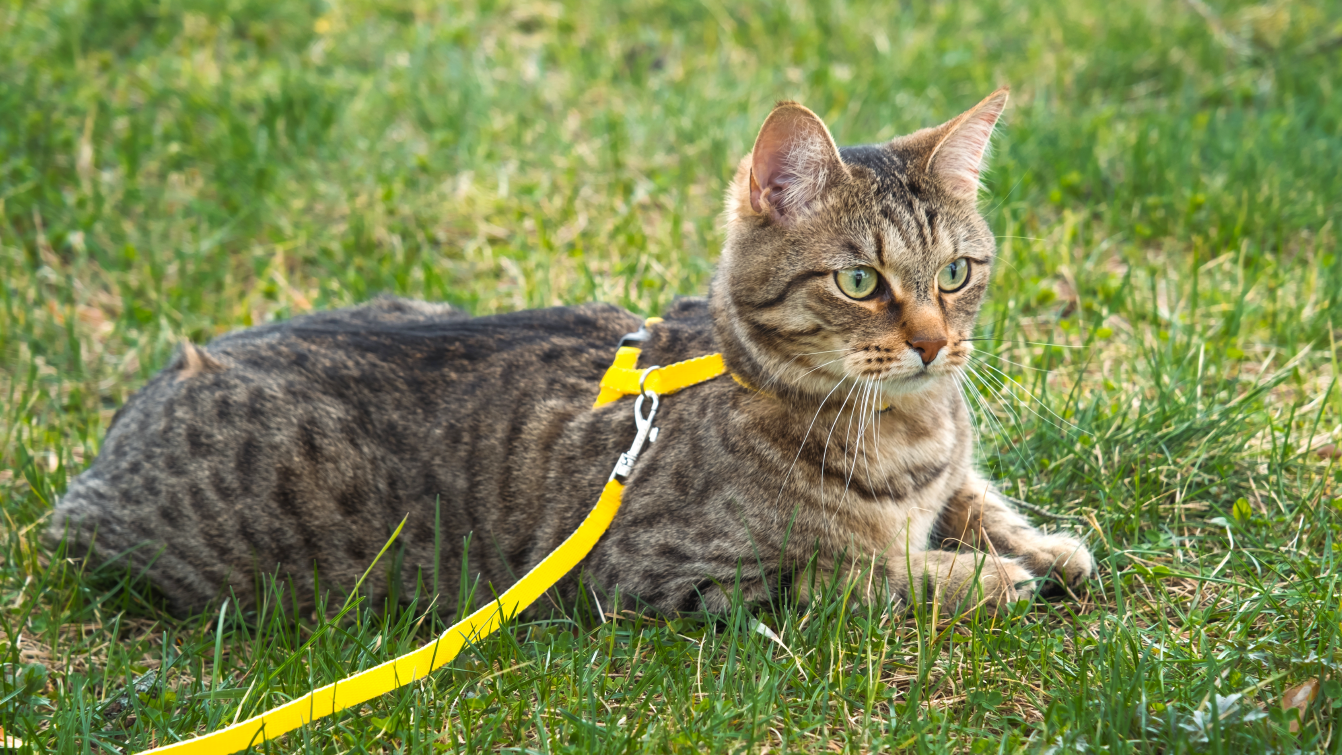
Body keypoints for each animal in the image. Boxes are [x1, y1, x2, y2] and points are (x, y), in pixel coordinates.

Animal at [49, 88, 1089, 619]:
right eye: (861, 281)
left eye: (956, 272)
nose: (934, 343)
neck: (905, 428)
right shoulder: (675, 575)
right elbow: (856, 575)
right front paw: (980, 576)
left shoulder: (948, 466)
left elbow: (978, 496)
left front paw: (1041, 545)